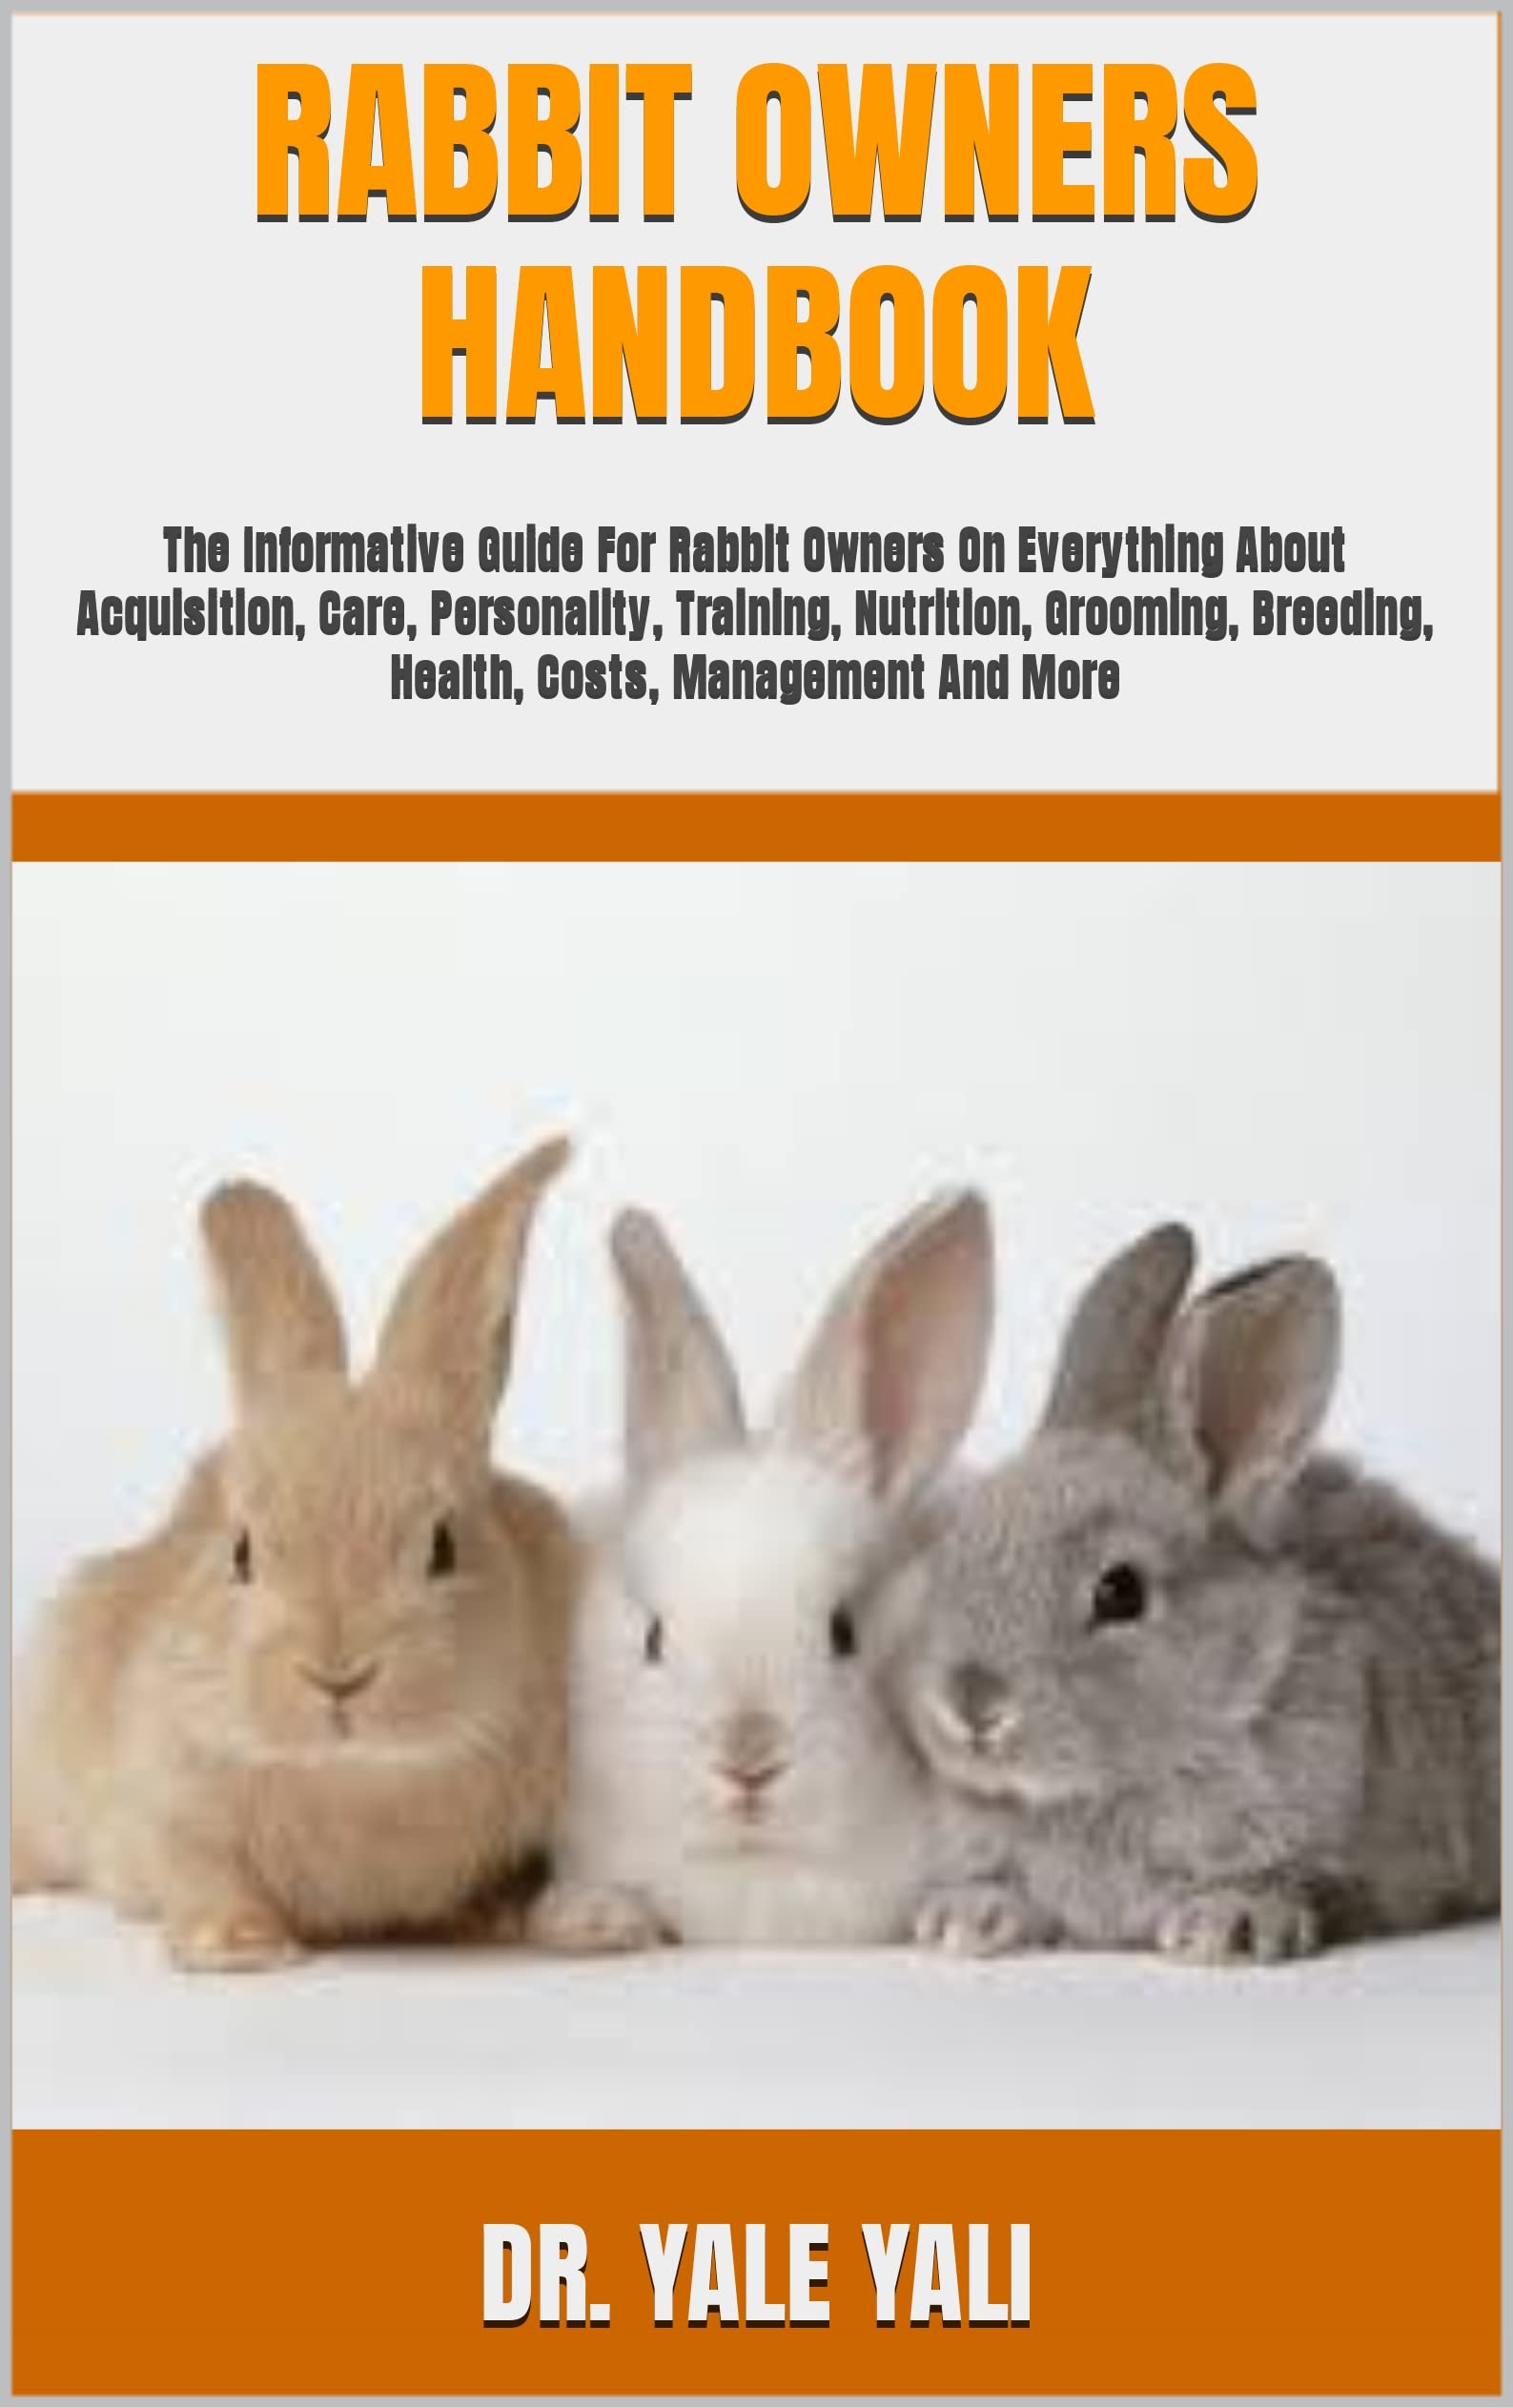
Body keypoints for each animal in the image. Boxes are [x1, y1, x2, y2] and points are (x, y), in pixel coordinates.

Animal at [12, 1140, 578, 1970]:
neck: (355, 1779)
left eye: (442, 1544)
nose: (337, 1675)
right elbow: (200, 1870)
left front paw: (503, 1918)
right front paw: (240, 1947)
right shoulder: (167, 1802)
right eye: (241, 1550)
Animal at [880, 1225, 1501, 1964]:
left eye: (1120, 1592)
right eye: (952, 1545)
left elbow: (1295, 1883)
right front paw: (968, 1918)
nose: (971, 1705)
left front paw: (1229, 1923)